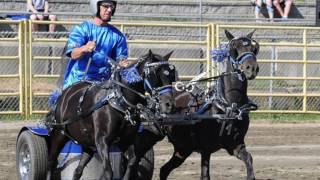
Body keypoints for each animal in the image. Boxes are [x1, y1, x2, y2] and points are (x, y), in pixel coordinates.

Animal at [44, 50, 178, 180]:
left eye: (172, 75)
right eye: (154, 74)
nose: (169, 105)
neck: (119, 101)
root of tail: (63, 94)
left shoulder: (126, 140)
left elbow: (132, 161)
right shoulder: (102, 141)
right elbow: (108, 171)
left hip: (88, 144)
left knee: (78, 170)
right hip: (59, 135)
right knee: (51, 162)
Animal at [160, 29, 260, 179]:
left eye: (254, 49)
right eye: (234, 48)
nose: (251, 68)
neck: (229, 106)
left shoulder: (235, 144)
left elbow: (249, 159)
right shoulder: (206, 149)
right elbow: (205, 176)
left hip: (182, 149)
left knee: (164, 170)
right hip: (183, 148)